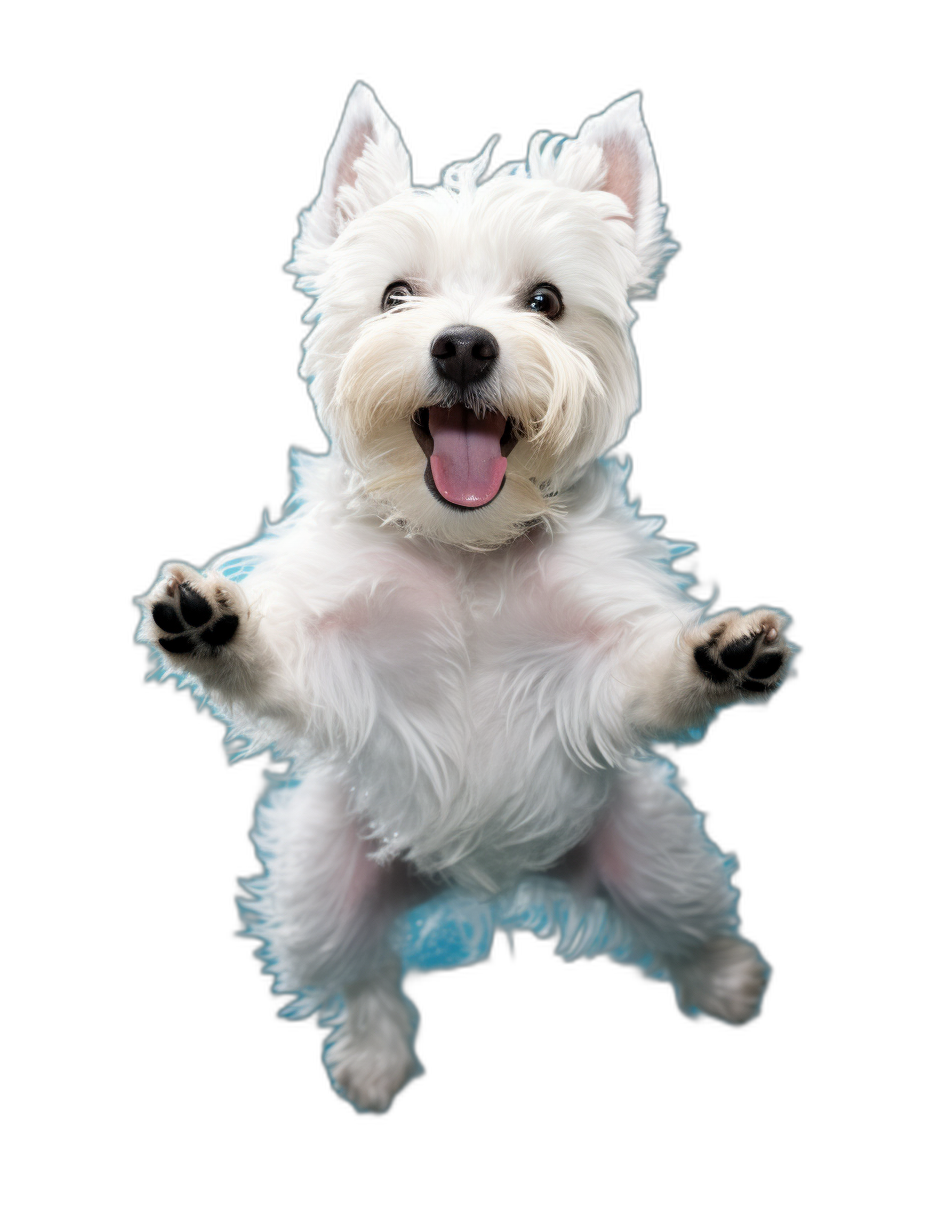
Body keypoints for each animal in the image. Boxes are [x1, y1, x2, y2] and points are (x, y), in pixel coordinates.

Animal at [137, 81, 788, 1113]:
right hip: (319, 882)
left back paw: (729, 983)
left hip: (652, 845)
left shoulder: (597, 669)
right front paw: (211, 625)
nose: (465, 347)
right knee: (363, 976)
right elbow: (278, 665)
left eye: (546, 301)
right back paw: (371, 1061)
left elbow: (649, 678)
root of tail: (484, 878)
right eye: (397, 293)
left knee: (689, 924)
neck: (466, 553)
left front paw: (719, 655)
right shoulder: (339, 662)